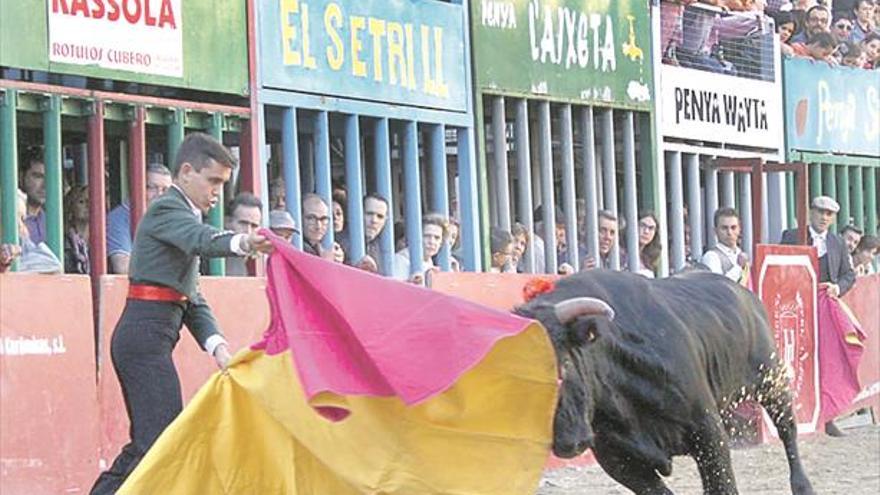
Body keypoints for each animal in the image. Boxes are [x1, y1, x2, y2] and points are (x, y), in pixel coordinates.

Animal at [512, 272, 816, 495]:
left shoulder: (707, 429)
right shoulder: (617, 459)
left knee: (788, 431)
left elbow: (722, 485)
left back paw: (803, 487)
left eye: (563, 362)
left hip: (772, 381)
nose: (569, 442)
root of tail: (743, 292)